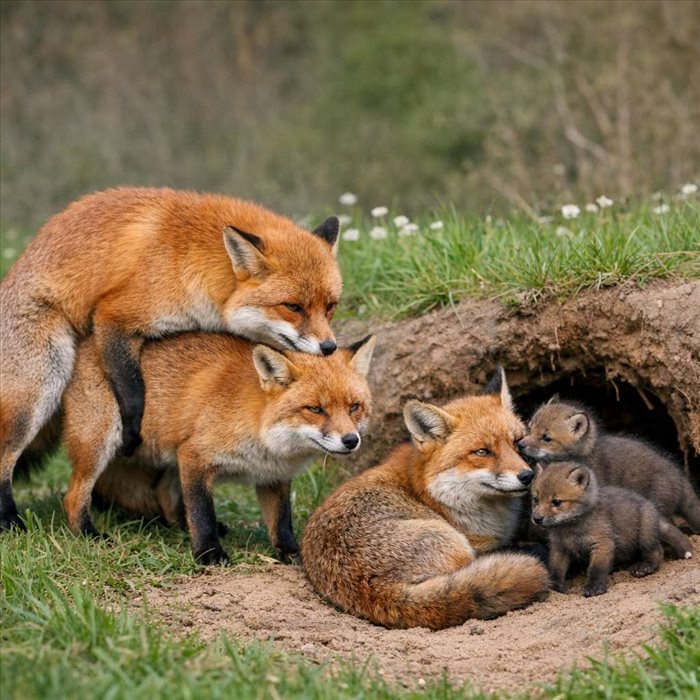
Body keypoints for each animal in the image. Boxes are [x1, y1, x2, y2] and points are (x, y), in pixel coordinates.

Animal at [0, 187, 342, 531]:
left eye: (330, 306)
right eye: (293, 306)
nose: (329, 347)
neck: (191, 257)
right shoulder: (114, 316)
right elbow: (132, 390)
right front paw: (132, 429)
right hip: (40, 388)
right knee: (8, 457)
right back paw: (13, 521)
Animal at [35, 332, 375, 564]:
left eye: (354, 407)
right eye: (315, 409)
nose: (350, 440)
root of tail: (84, 342)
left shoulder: (273, 477)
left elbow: (281, 522)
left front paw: (291, 554)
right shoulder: (195, 457)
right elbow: (202, 512)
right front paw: (208, 553)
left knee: (164, 493)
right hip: (100, 445)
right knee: (73, 496)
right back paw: (89, 534)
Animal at [301, 368, 550, 630]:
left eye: (518, 443)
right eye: (482, 452)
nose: (527, 476)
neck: (434, 495)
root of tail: (376, 590)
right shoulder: (478, 543)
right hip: (453, 542)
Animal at [531, 461, 665, 597]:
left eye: (556, 502)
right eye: (536, 499)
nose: (537, 519)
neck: (570, 529)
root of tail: (648, 503)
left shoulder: (602, 543)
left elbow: (597, 569)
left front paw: (594, 587)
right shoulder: (560, 548)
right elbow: (555, 569)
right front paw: (554, 588)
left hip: (645, 536)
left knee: (657, 551)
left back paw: (644, 567)